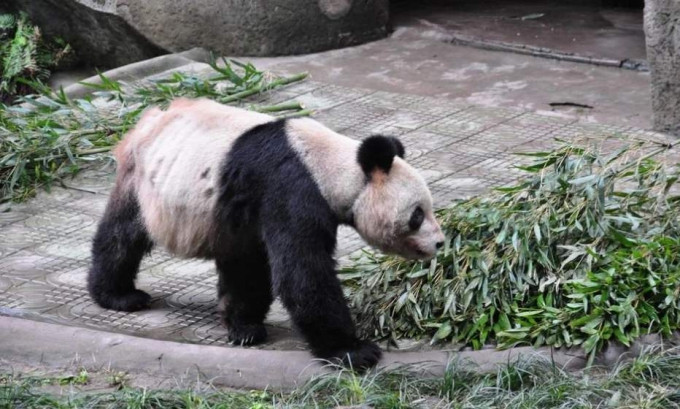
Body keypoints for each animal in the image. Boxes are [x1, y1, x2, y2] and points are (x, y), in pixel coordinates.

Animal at [86, 97, 446, 368]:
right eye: (417, 215)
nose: (440, 243)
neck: (336, 166)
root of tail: (146, 121)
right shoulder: (290, 186)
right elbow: (302, 271)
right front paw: (354, 351)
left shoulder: (255, 208)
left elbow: (253, 266)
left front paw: (245, 327)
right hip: (143, 180)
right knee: (123, 235)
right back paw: (119, 295)